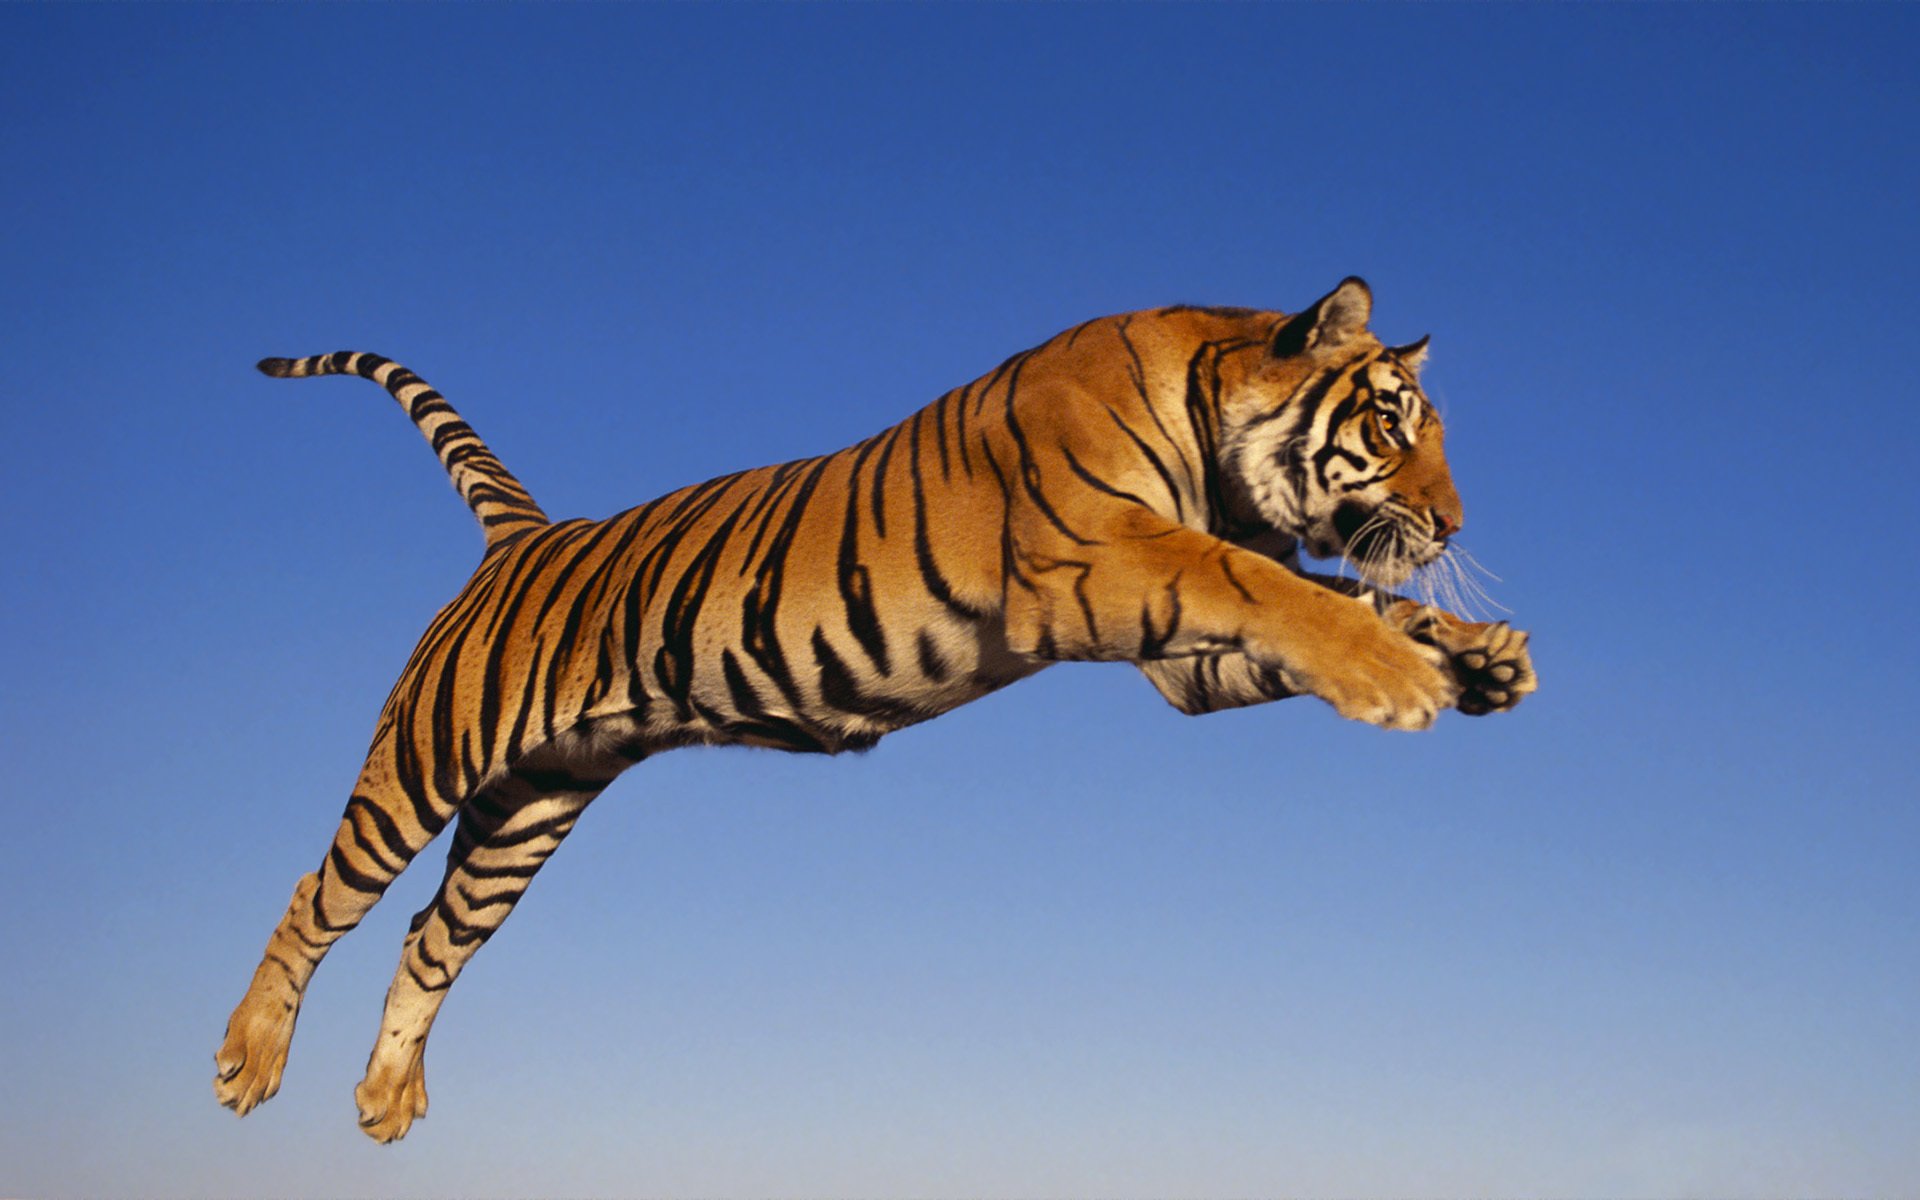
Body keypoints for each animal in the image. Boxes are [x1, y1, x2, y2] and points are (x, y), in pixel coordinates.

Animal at [214, 277, 1536, 1142]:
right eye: (1389, 426)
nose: (1455, 525)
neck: (1215, 443)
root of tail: (526, 535)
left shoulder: (1178, 661)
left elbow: (1338, 597)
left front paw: (1481, 657)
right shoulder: (1105, 563)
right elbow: (1283, 588)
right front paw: (1402, 678)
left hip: (531, 807)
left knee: (431, 935)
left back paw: (385, 1101)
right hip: (427, 759)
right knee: (320, 893)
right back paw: (247, 1060)